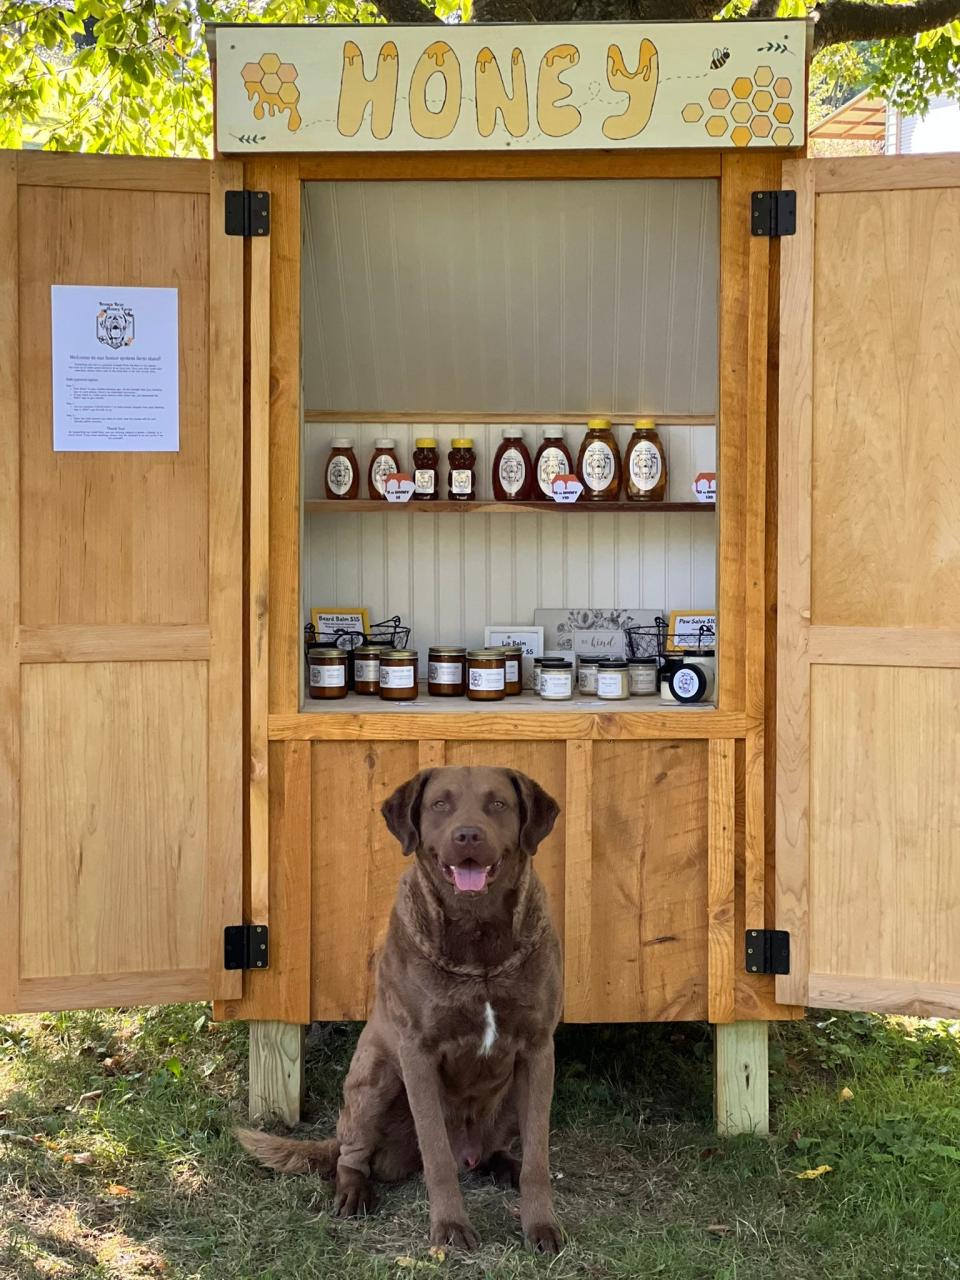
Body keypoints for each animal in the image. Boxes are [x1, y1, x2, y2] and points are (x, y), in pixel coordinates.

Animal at [239, 762, 563, 1254]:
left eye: (498, 803)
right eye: (440, 803)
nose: (468, 835)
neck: (479, 942)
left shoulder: (538, 1049)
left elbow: (538, 1159)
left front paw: (540, 1224)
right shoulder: (417, 1052)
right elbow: (437, 1157)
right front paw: (450, 1227)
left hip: (509, 1095)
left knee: (501, 1151)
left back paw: (503, 1164)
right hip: (376, 1076)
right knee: (351, 1157)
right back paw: (353, 1194)